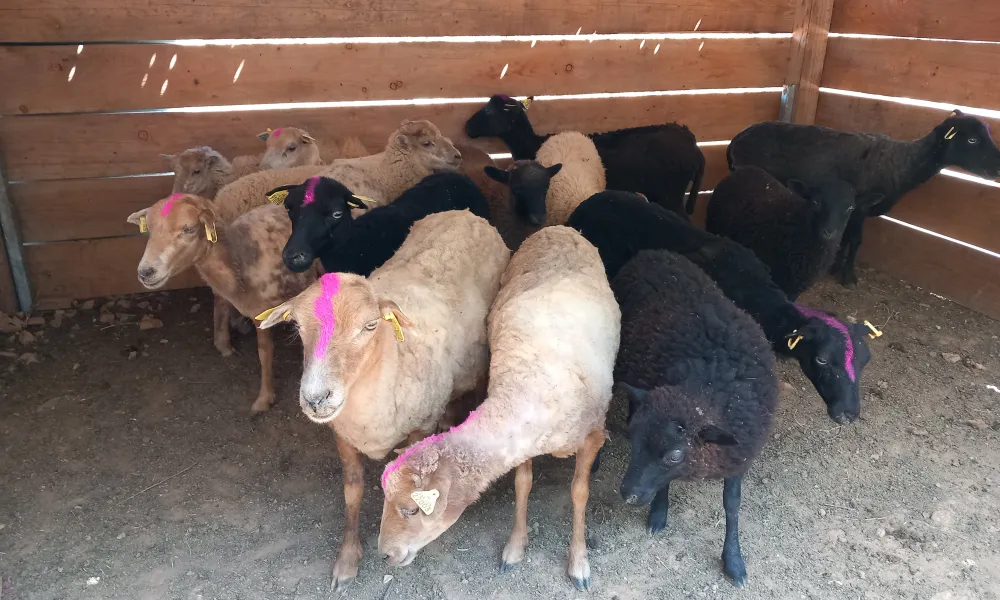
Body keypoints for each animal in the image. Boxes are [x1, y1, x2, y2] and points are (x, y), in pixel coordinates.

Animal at [125, 193, 318, 413]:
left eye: (189, 229)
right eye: (148, 228)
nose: (145, 272)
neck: (237, 260)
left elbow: (266, 353)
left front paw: (264, 399)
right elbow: (265, 352)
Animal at [255, 210, 509, 590]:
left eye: (371, 325)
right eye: (297, 327)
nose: (316, 398)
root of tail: (465, 214)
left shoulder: (419, 427)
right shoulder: (343, 435)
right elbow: (353, 492)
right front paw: (347, 559)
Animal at [378, 226, 619, 591]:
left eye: (412, 510)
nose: (384, 555)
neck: (528, 385)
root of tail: (558, 228)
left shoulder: (590, 436)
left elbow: (580, 493)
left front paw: (579, 562)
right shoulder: (523, 443)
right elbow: (523, 484)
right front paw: (515, 547)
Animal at [613, 249, 778, 587]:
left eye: (675, 455)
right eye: (633, 441)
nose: (628, 495)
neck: (708, 386)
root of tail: (652, 252)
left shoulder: (739, 455)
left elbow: (732, 504)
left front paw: (734, 561)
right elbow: (664, 485)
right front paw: (659, 514)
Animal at [727, 110, 1000, 285]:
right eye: (972, 139)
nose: (998, 167)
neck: (903, 164)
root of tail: (736, 140)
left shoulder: (854, 209)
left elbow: (847, 237)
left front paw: (837, 266)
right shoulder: (859, 210)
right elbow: (856, 240)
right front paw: (848, 276)